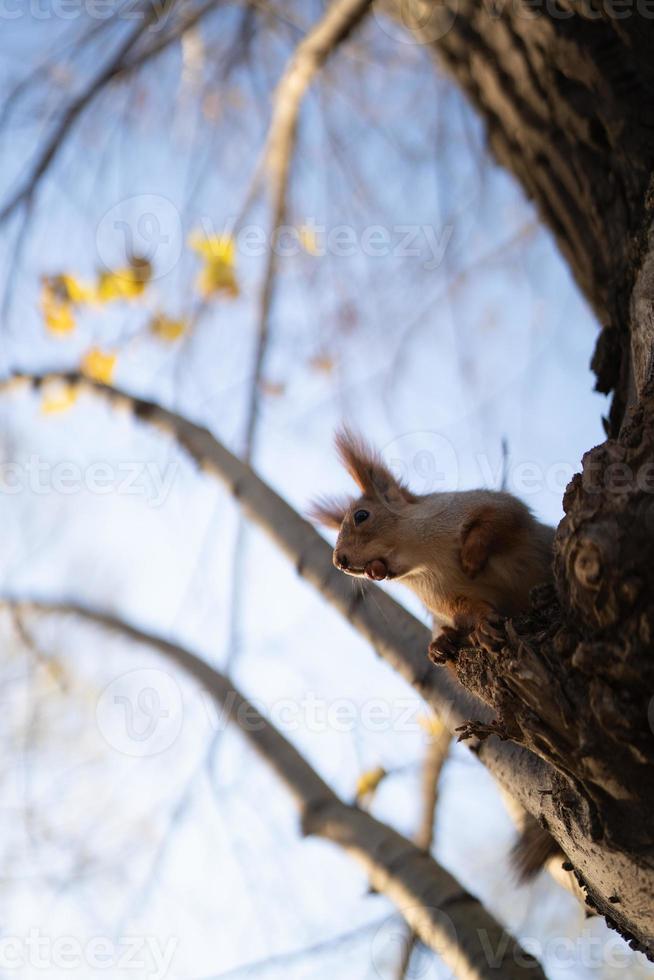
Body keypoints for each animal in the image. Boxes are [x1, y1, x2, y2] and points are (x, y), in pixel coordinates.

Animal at [312, 424, 552, 664]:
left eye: (361, 515)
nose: (339, 561)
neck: (428, 557)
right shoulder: (440, 596)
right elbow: (464, 609)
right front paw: (483, 626)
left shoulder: (488, 505)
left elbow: (499, 520)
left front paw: (471, 557)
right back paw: (441, 643)